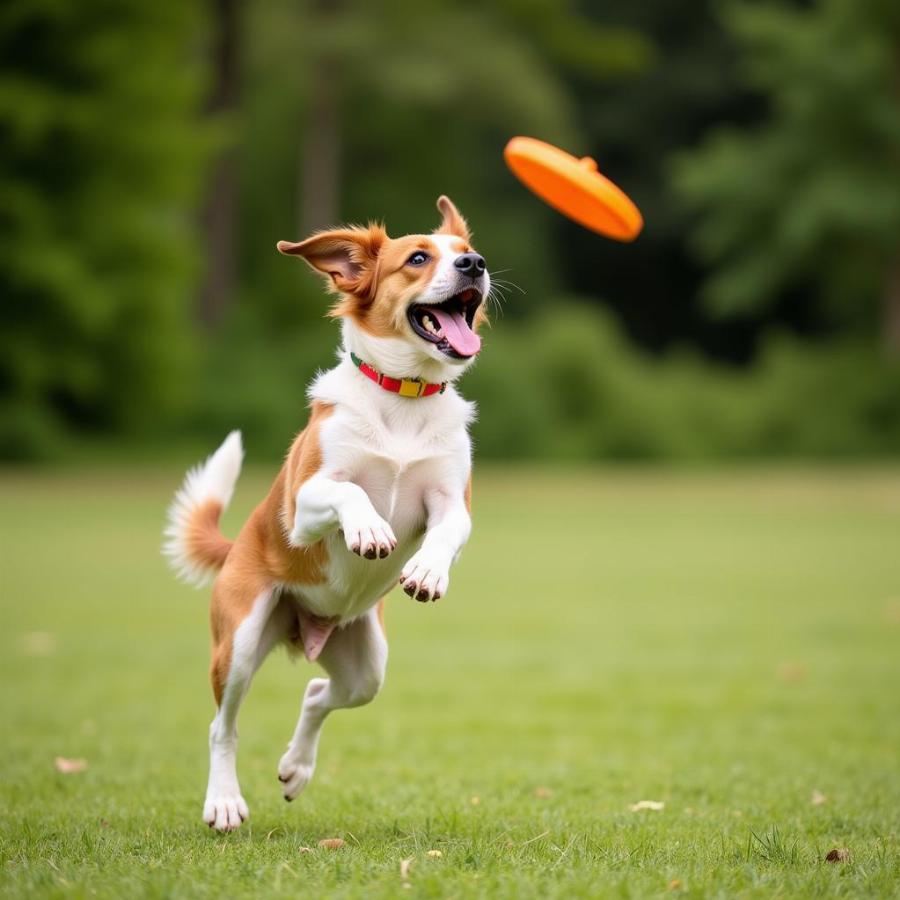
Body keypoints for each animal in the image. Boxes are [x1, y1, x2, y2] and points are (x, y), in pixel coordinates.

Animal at [162, 195, 486, 828]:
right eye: (418, 258)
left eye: (466, 252)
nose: (476, 265)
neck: (404, 399)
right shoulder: (303, 503)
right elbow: (349, 494)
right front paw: (370, 529)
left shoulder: (450, 500)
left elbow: (447, 532)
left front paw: (426, 571)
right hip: (240, 641)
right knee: (221, 726)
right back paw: (224, 802)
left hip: (367, 665)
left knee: (319, 694)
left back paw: (296, 768)